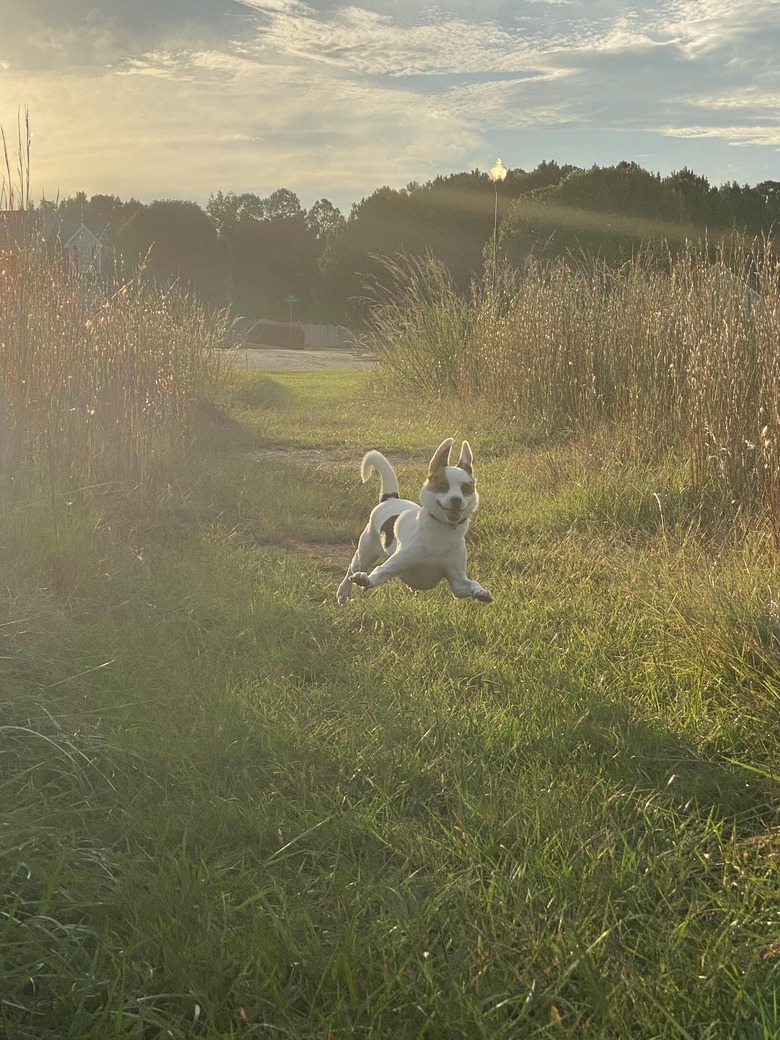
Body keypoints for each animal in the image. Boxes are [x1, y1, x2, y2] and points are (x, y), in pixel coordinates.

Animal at [336, 440, 495, 607]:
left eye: (466, 488)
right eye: (442, 486)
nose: (456, 500)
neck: (441, 532)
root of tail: (390, 498)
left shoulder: (457, 582)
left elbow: (471, 584)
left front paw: (481, 592)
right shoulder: (393, 564)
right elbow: (378, 574)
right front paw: (365, 580)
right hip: (364, 554)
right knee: (352, 569)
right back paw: (343, 592)